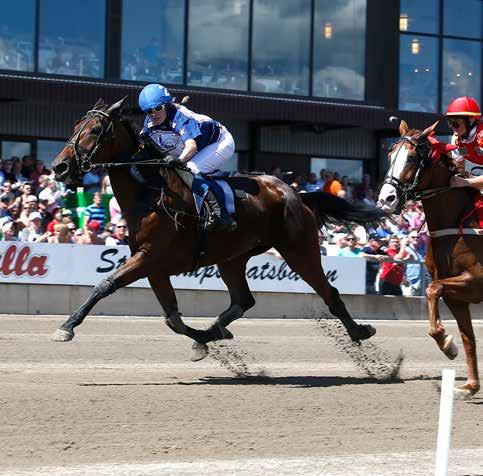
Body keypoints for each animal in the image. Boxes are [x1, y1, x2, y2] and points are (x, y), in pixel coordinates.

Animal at [52, 97, 386, 360]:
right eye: (74, 126)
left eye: (95, 131)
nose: (59, 167)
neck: (152, 192)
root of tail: (296, 194)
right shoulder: (154, 266)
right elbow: (172, 318)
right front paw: (204, 339)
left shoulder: (148, 257)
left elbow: (105, 285)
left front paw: (66, 327)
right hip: (232, 258)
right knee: (243, 300)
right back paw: (214, 331)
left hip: (299, 250)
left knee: (330, 292)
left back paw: (360, 331)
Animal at [380, 120, 482, 398]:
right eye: (390, 156)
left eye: (412, 158)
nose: (386, 199)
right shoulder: (457, 296)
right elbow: (467, 337)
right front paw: (468, 382)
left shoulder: (476, 280)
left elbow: (432, 288)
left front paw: (447, 343)